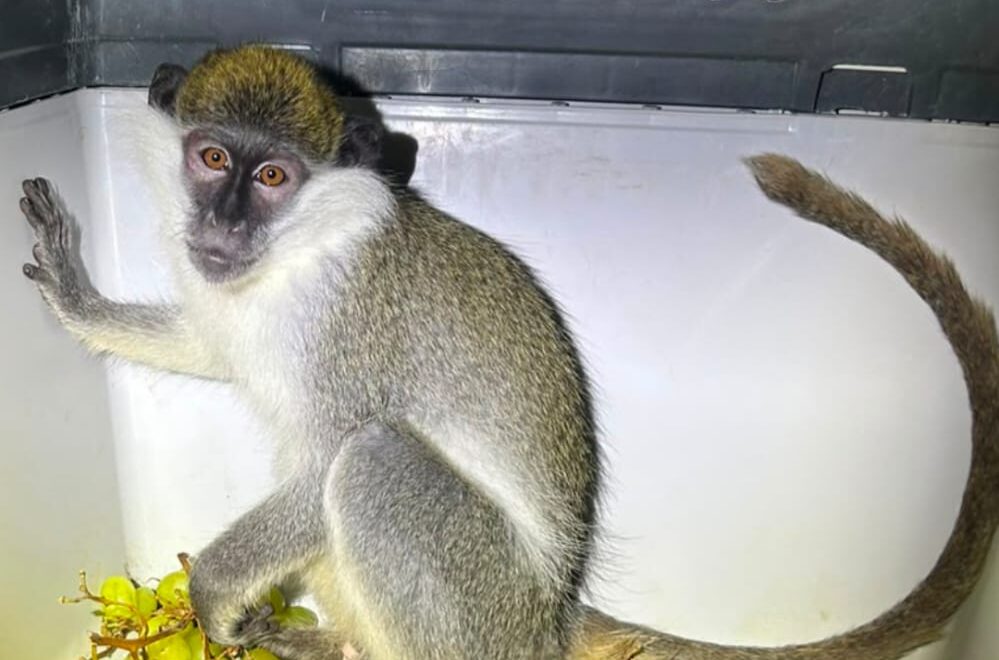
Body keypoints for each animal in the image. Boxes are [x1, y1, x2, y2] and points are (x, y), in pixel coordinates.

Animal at [15, 44, 999, 660]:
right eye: (212, 158)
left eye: (272, 177)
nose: (220, 229)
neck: (297, 252)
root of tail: (545, 617)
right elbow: (211, 348)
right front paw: (73, 293)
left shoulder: (349, 326)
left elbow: (329, 454)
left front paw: (213, 592)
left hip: (474, 599)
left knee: (367, 465)